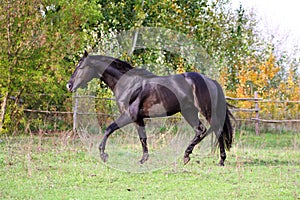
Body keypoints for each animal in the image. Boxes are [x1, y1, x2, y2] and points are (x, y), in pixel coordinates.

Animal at [67, 51, 234, 166]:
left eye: (80, 66)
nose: (69, 85)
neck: (128, 84)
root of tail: (210, 81)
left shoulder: (129, 116)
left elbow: (109, 129)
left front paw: (103, 155)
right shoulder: (138, 118)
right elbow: (143, 137)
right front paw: (143, 159)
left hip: (206, 111)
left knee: (217, 130)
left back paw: (220, 160)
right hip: (189, 112)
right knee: (200, 130)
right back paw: (187, 156)